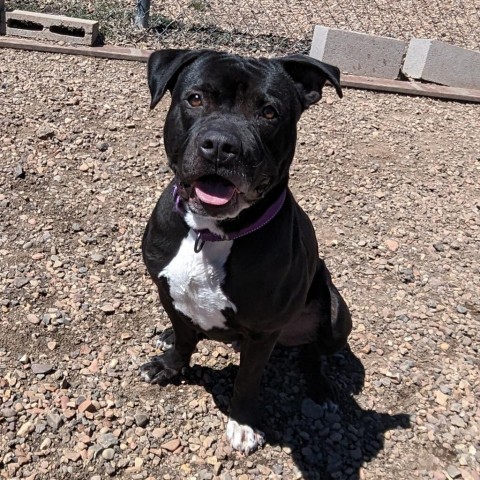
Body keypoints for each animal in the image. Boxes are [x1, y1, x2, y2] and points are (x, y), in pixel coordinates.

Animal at [141, 50, 350, 456]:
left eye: (269, 112)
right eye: (195, 99)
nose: (221, 144)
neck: (209, 233)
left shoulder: (263, 331)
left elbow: (248, 380)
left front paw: (243, 423)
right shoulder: (168, 292)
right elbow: (184, 337)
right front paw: (170, 363)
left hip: (335, 312)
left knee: (315, 352)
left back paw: (321, 388)